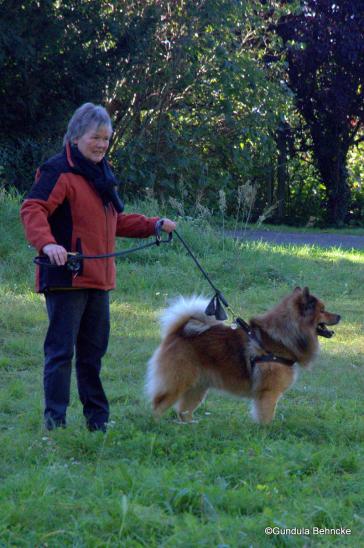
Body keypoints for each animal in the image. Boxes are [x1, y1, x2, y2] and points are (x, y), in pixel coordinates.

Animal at [146, 288, 342, 426]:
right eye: (323, 310)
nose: (339, 316)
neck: (282, 337)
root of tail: (178, 332)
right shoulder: (268, 392)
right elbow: (266, 415)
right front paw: (266, 432)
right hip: (178, 382)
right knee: (158, 405)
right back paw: (157, 425)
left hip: (198, 387)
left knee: (183, 411)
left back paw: (190, 426)